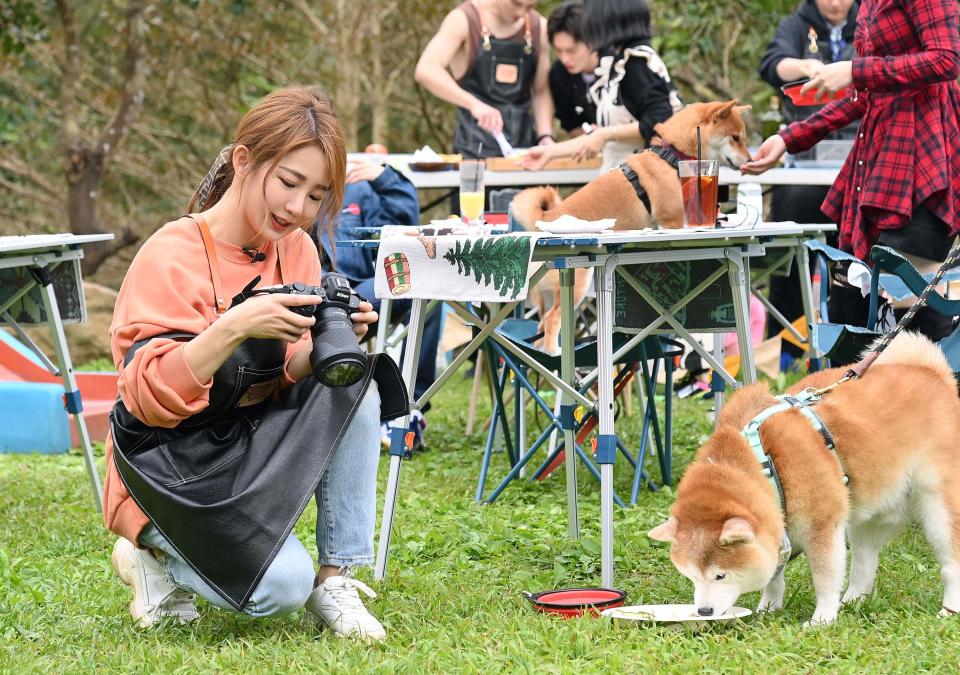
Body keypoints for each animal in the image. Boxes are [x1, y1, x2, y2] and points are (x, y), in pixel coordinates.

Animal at [512, 100, 752, 356]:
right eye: (736, 138)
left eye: (742, 138)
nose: (748, 160)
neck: (671, 156)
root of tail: (546, 219)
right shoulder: (673, 220)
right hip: (577, 285)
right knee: (551, 319)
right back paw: (555, 352)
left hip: (545, 294)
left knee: (540, 324)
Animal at [644, 336, 960, 624]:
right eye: (691, 575)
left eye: (720, 575)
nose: (703, 611)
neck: (765, 464)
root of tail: (933, 374)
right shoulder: (778, 526)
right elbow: (774, 576)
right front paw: (768, 608)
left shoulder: (822, 525)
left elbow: (825, 577)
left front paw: (822, 619)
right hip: (871, 511)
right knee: (864, 563)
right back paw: (853, 601)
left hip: (937, 507)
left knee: (950, 561)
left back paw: (949, 609)